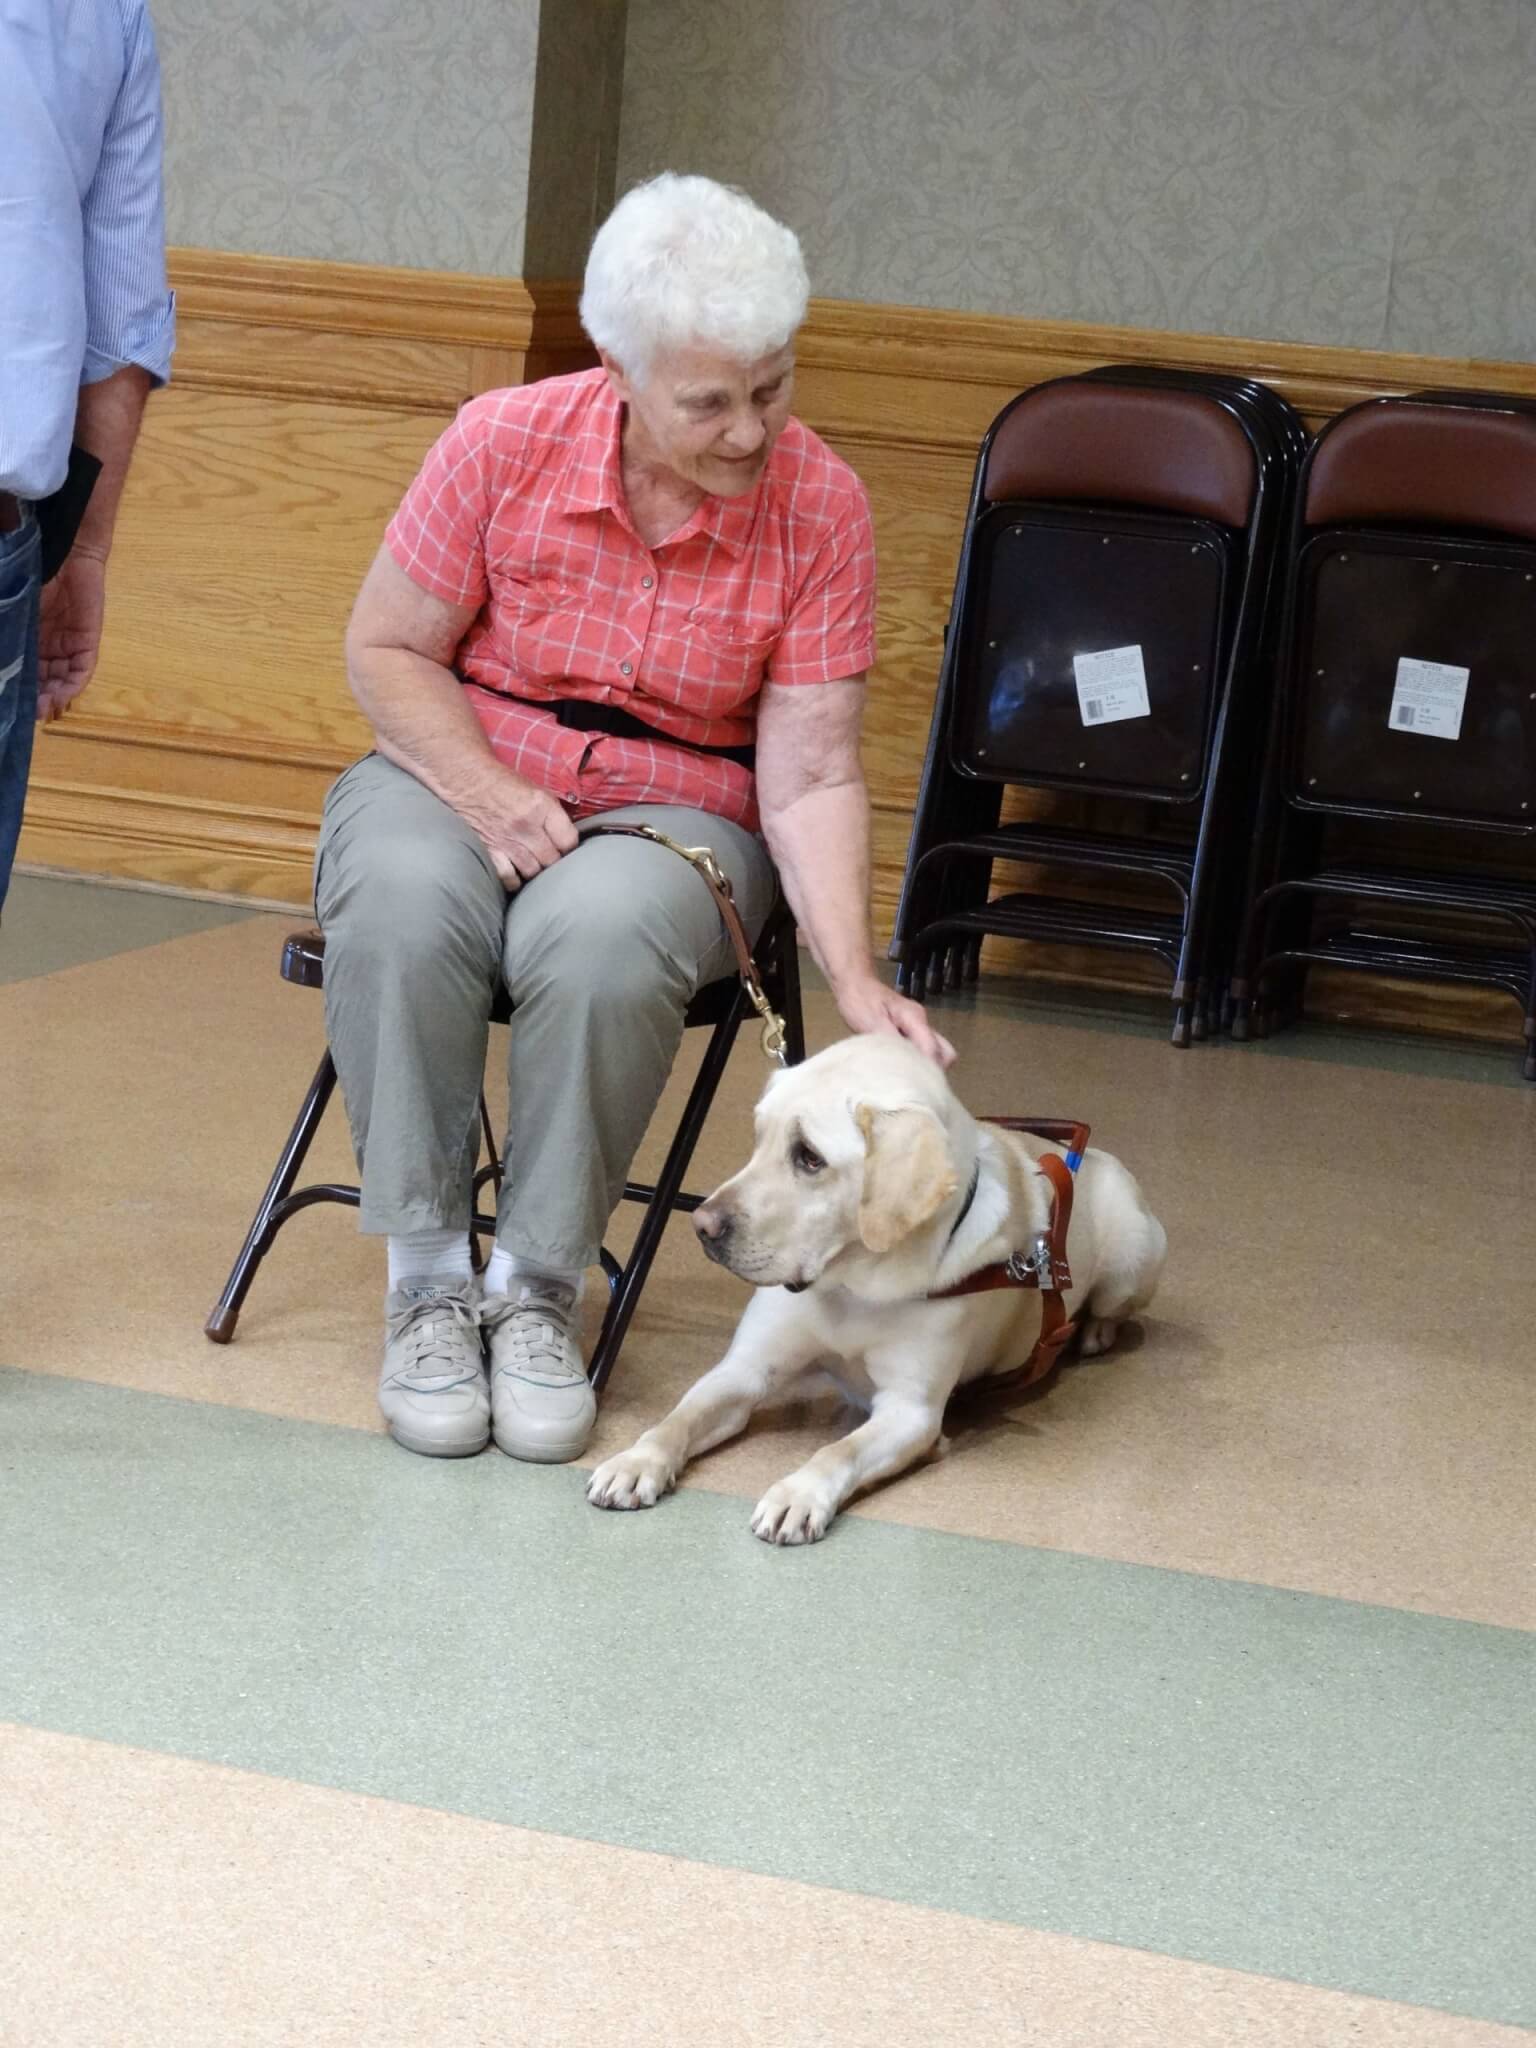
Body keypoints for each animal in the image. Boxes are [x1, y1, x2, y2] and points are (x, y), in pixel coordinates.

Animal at [589, 1032, 1163, 1540]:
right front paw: (636, 1459)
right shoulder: (746, 1368)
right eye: (759, 1137)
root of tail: (1096, 1155)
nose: (702, 1227)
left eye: (810, 1157)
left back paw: (1092, 1332)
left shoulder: (911, 1411)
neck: (853, 1285)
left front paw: (798, 1494)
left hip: (1133, 1255)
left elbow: (837, 1450)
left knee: (1112, 1306)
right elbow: (678, 1416)